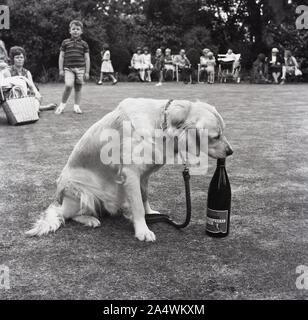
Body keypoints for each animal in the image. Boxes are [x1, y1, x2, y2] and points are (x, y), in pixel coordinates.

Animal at [26, 99, 232, 241]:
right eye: (215, 136)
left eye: (223, 132)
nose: (231, 151)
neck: (161, 123)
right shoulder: (131, 174)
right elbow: (138, 205)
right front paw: (142, 230)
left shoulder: (144, 175)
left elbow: (144, 197)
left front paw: (150, 214)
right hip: (82, 193)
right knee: (64, 214)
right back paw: (89, 219)